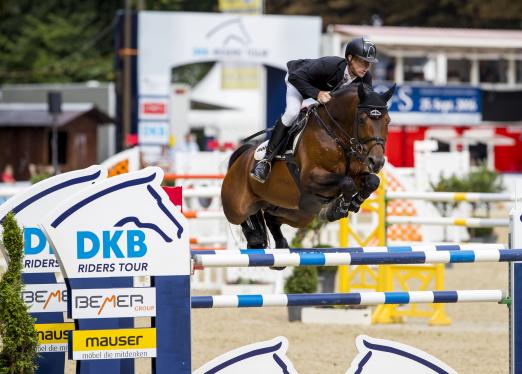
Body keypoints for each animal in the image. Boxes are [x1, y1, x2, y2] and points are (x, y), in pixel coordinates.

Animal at [219, 83, 394, 250]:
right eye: (362, 119)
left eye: (388, 120)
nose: (377, 161)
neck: (336, 136)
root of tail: (241, 158)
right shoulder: (310, 177)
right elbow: (347, 182)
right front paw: (339, 209)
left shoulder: (358, 174)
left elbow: (372, 181)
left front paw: (352, 204)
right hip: (236, 207)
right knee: (244, 217)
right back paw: (255, 237)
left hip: (298, 212)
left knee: (270, 218)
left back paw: (280, 244)